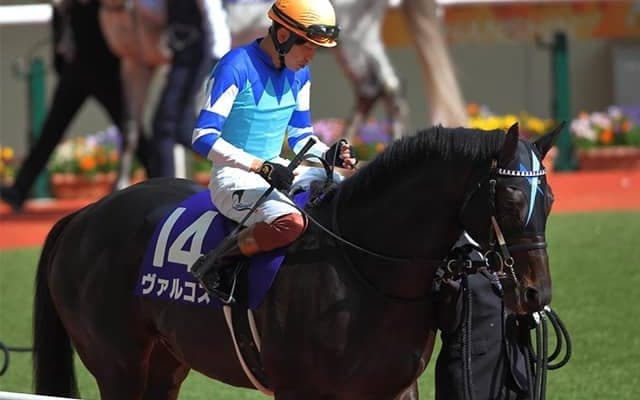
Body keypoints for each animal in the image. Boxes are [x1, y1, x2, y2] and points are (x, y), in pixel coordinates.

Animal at [32, 124, 560, 399]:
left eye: (549, 198)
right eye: (510, 199)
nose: (535, 293)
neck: (362, 270)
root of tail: (81, 216)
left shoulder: (393, 387)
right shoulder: (300, 390)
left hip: (165, 363)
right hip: (117, 364)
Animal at [96, 0, 468, 187]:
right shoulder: (134, 61)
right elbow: (131, 129)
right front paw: (121, 186)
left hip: (354, 33)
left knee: (382, 87)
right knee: (380, 87)